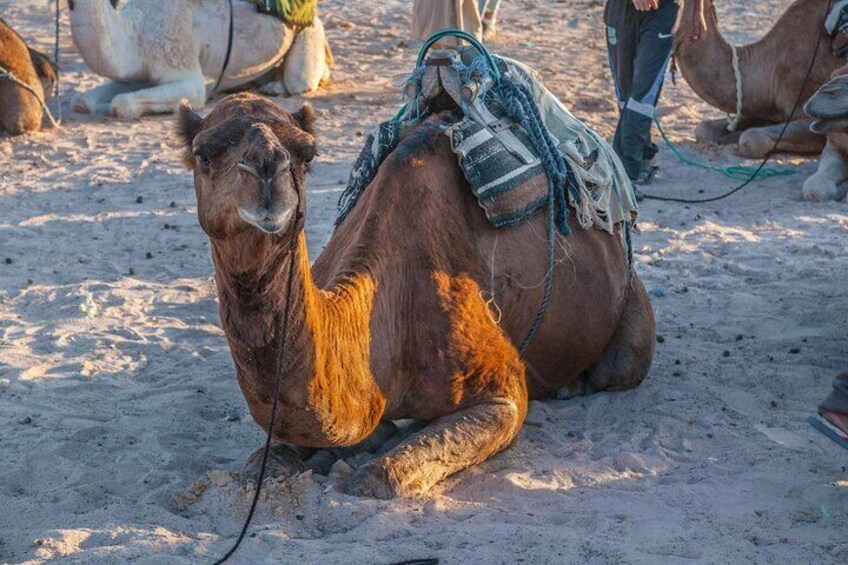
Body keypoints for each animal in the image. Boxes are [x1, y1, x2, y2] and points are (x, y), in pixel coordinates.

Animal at [69, 0, 330, 118]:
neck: (134, 32)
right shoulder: (134, 76)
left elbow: (121, 103)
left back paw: (275, 87)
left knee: (300, 80)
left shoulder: (184, 70)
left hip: (310, 31)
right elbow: (82, 100)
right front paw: (95, 104)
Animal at [177, 93, 656, 498]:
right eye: (204, 154)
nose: (267, 170)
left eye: (306, 154)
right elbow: (263, 461)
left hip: (628, 314)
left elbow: (378, 478)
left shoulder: (503, 391)